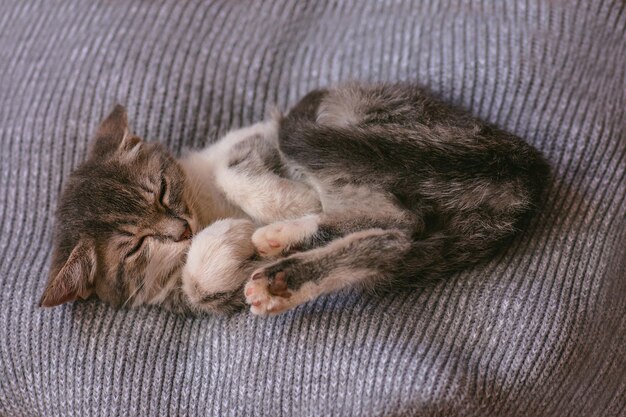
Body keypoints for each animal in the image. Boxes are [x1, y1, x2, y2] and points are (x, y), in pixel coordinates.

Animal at [39, 82, 544, 316]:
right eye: (136, 246)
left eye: (162, 191)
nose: (181, 229)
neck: (203, 204)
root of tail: (516, 163)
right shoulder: (201, 300)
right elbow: (200, 285)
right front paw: (227, 236)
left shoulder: (255, 138)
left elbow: (235, 170)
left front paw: (290, 201)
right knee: (393, 233)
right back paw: (279, 269)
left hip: (349, 120)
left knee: (396, 219)